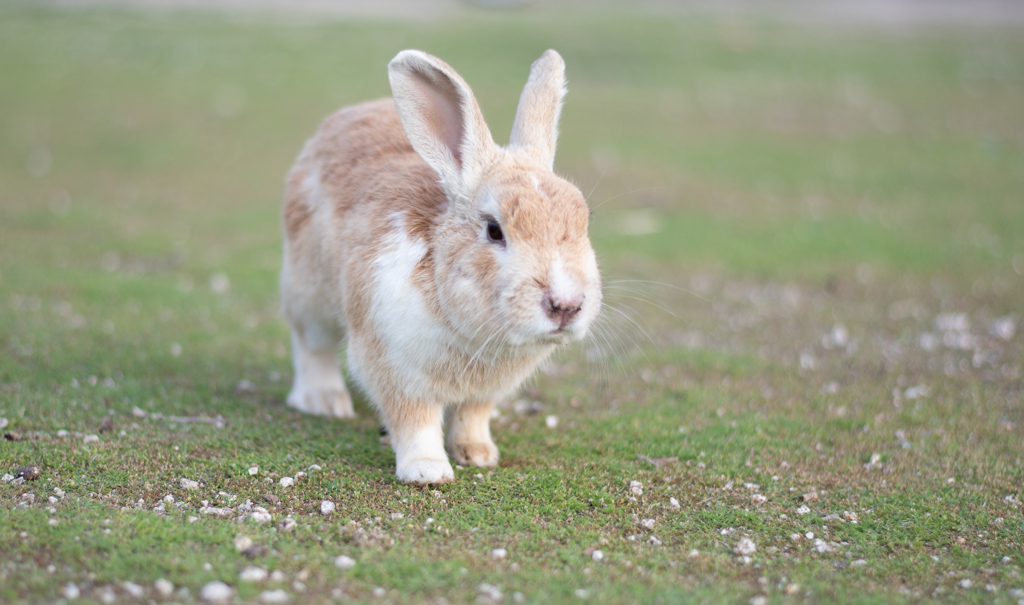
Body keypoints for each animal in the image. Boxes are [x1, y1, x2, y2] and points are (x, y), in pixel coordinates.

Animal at [280, 49, 598, 485]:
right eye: (494, 230)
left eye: (585, 220)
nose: (566, 305)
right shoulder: (395, 368)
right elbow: (415, 423)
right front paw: (428, 471)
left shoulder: (483, 393)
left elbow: (472, 417)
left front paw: (479, 455)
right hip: (309, 291)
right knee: (311, 344)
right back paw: (323, 401)